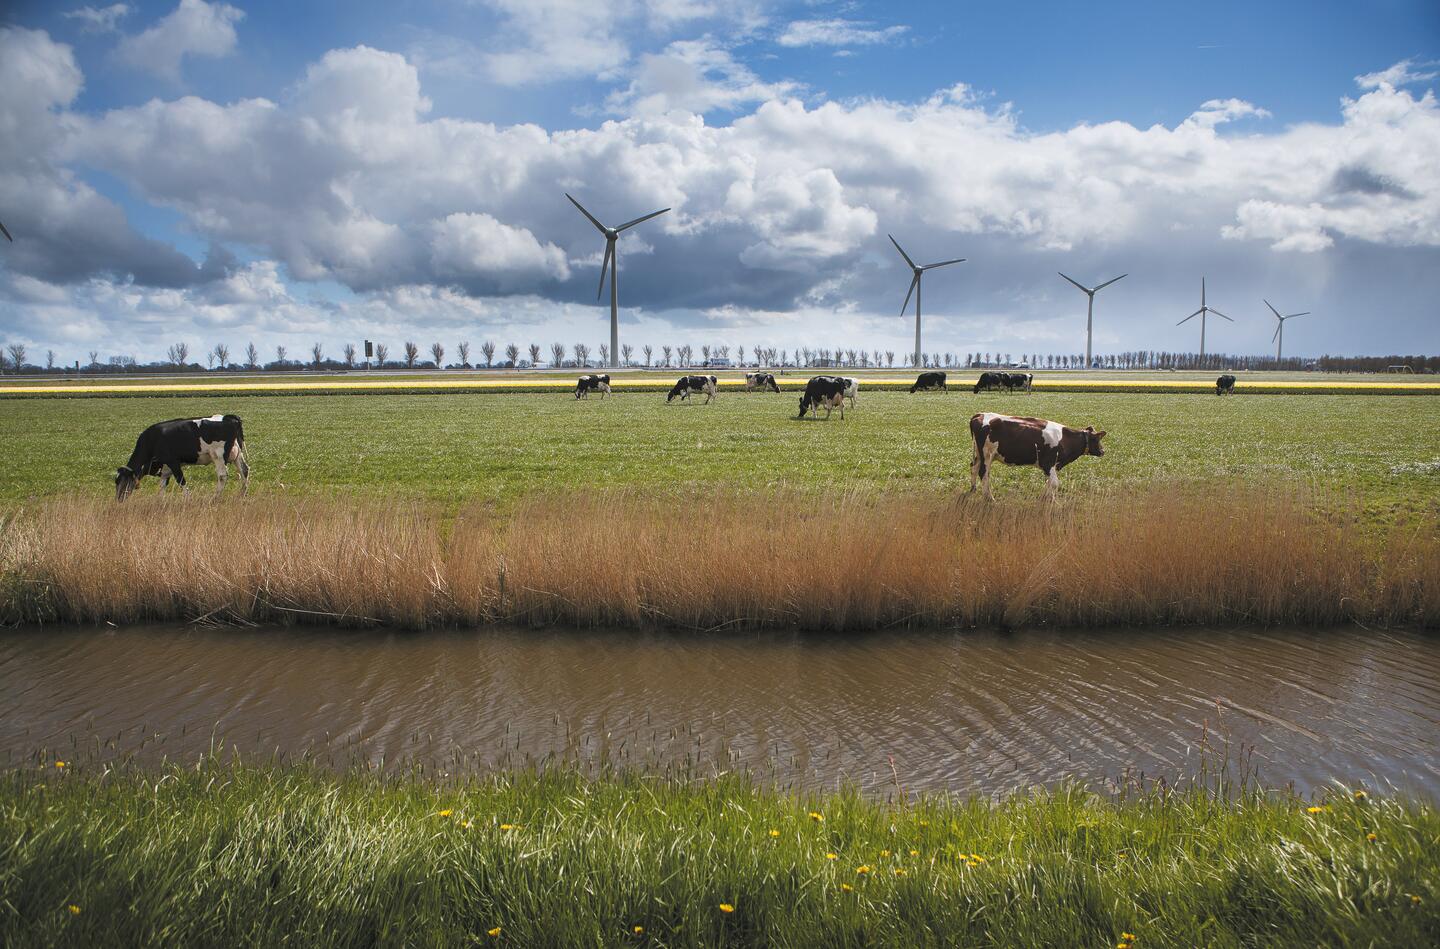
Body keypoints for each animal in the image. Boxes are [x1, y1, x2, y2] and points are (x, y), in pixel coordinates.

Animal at [115, 417, 250, 504]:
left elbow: (181, 481)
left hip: (218, 455)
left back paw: (214, 499)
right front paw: (160, 502)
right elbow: (162, 487)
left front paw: (188, 499)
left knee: (222, 476)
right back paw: (242, 496)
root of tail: (230, 418)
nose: (118, 499)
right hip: (237, 454)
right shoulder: (165, 469)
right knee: (244, 470)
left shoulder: (173, 463)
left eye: (123, 481)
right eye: (116, 482)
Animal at [973, 411, 1105, 501]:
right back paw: (989, 498)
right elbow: (1055, 483)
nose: (1103, 451)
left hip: (978, 454)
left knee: (974, 468)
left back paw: (973, 489)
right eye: (1097, 439)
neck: (1065, 439)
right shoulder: (1048, 464)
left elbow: (1049, 482)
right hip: (987, 454)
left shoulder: (1052, 466)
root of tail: (980, 414)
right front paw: (1052, 501)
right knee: (983, 473)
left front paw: (1044, 497)